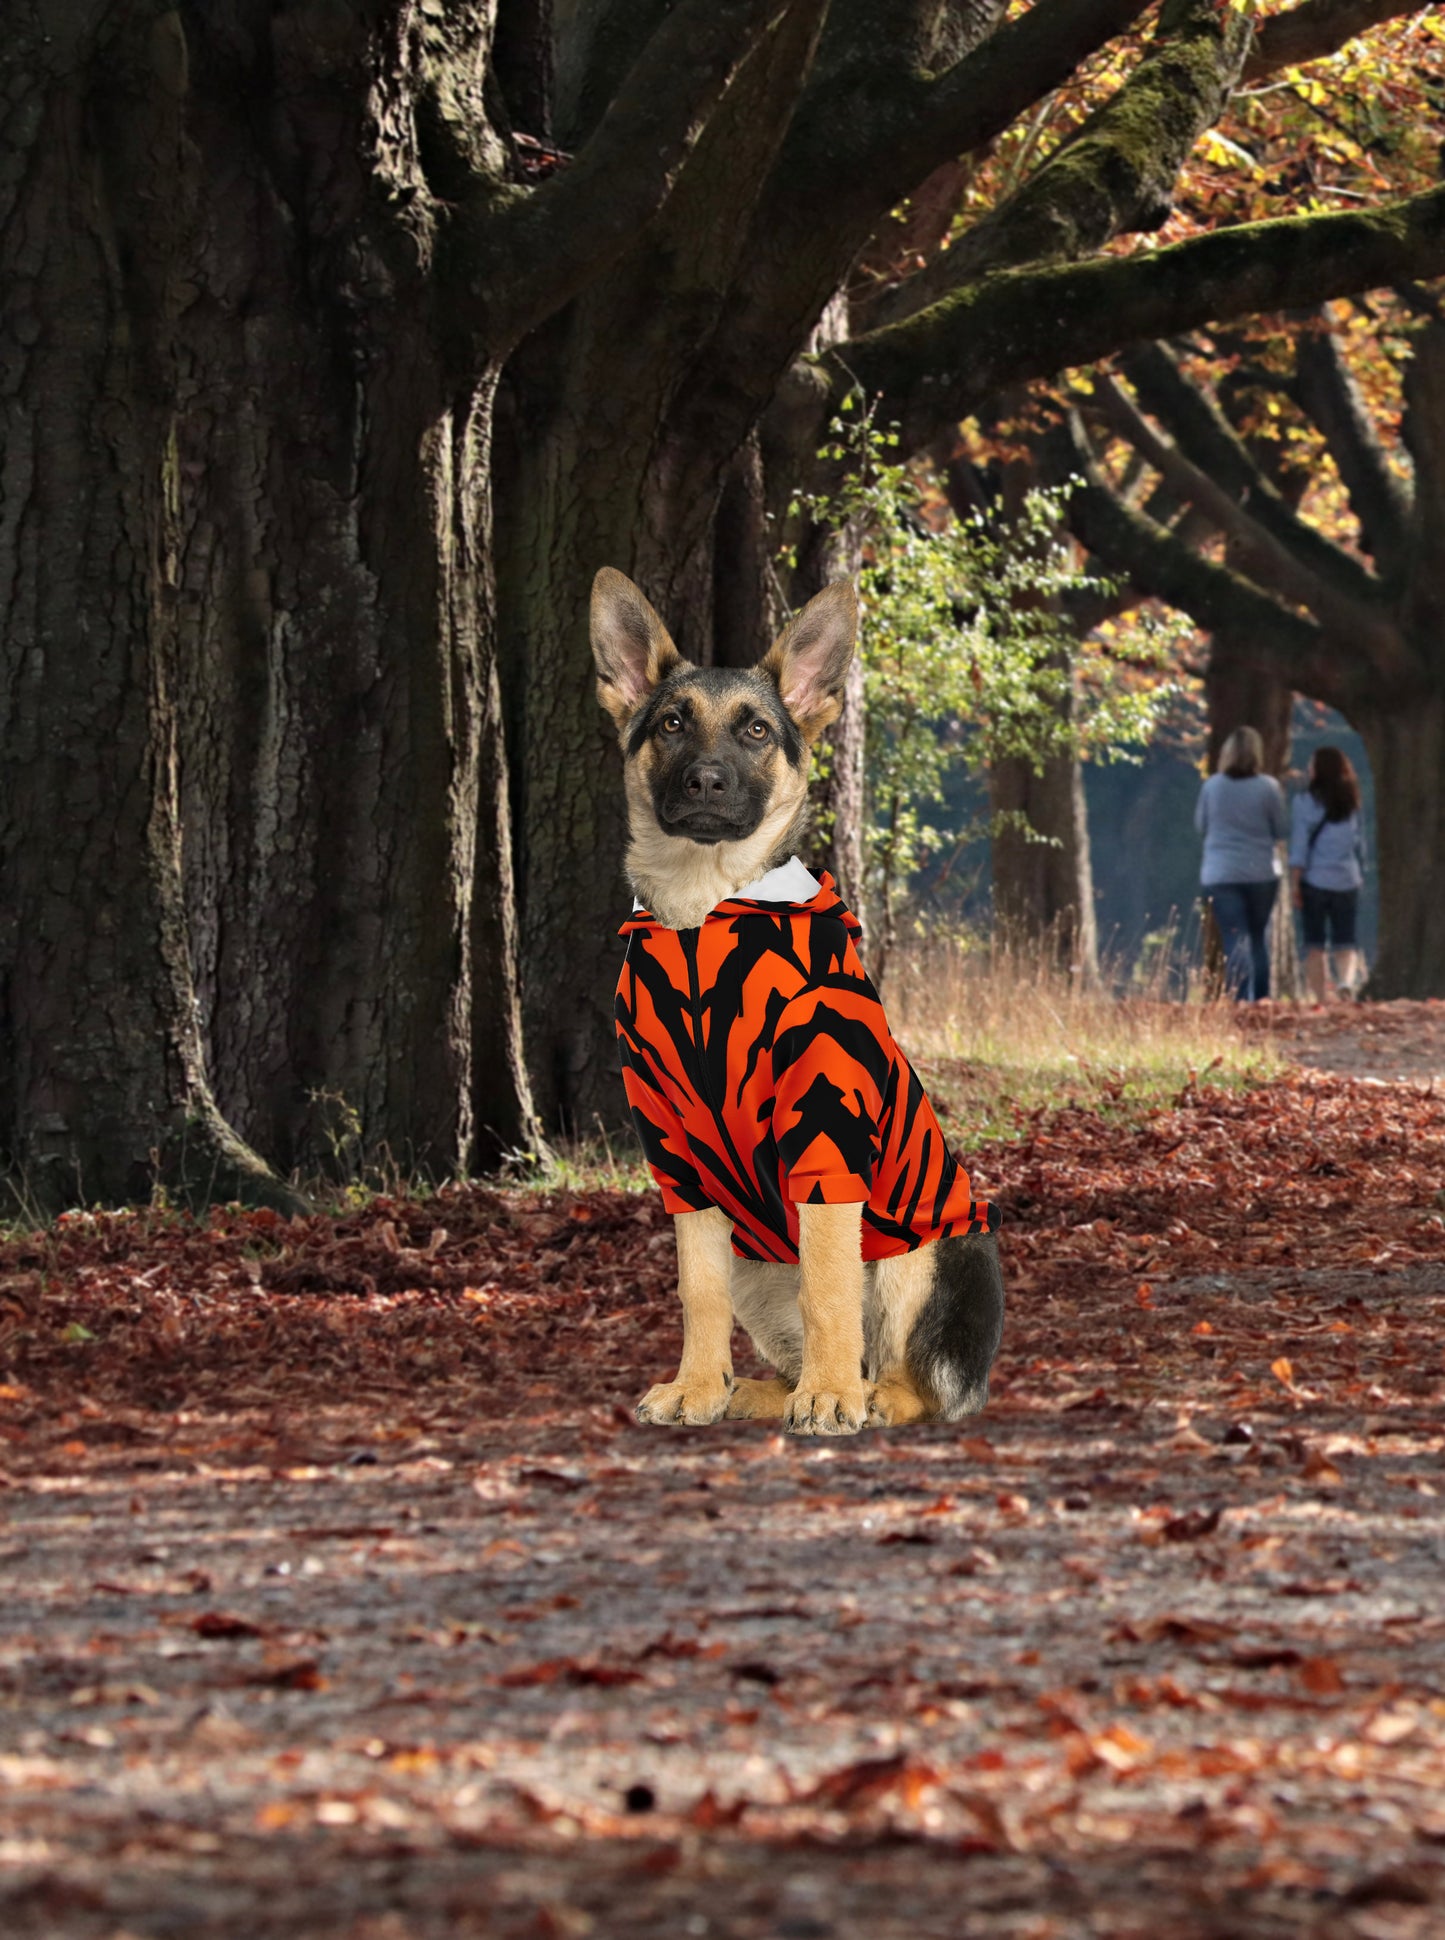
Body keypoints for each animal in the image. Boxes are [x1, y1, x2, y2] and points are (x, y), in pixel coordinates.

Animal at [585, 566, 1000, 1435]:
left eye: (754, 731)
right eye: (670, 723)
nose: (705, 782)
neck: (702, 919)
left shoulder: (826, 1134)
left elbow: (830, 1286)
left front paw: (832, 1396)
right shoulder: (680, 1158)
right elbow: (697, 1292)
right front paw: (698, 1386)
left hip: (924, 1252)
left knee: (910, 1376)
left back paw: (863, 1392)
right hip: (755, 1264)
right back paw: (751, 1391)